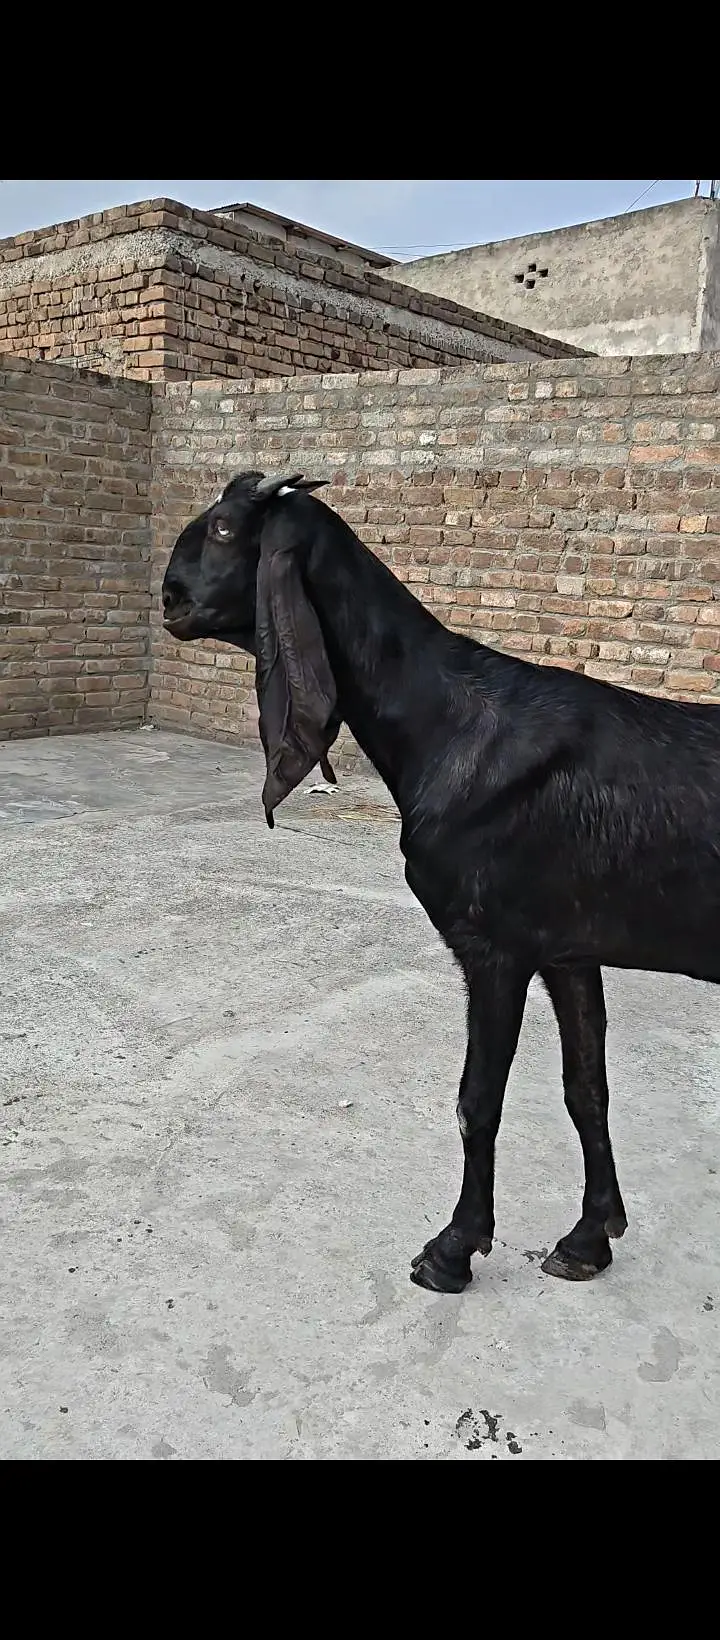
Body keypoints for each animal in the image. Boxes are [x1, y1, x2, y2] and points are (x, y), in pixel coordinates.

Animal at [161, 471, 720, 1295]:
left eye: (228, 529)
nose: (169, 597)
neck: (452, 727)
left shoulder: (494, 947)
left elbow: (476, 1100)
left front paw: (453, 1248)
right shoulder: (569, 949)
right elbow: (585, 1089)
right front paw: (590, 1238)